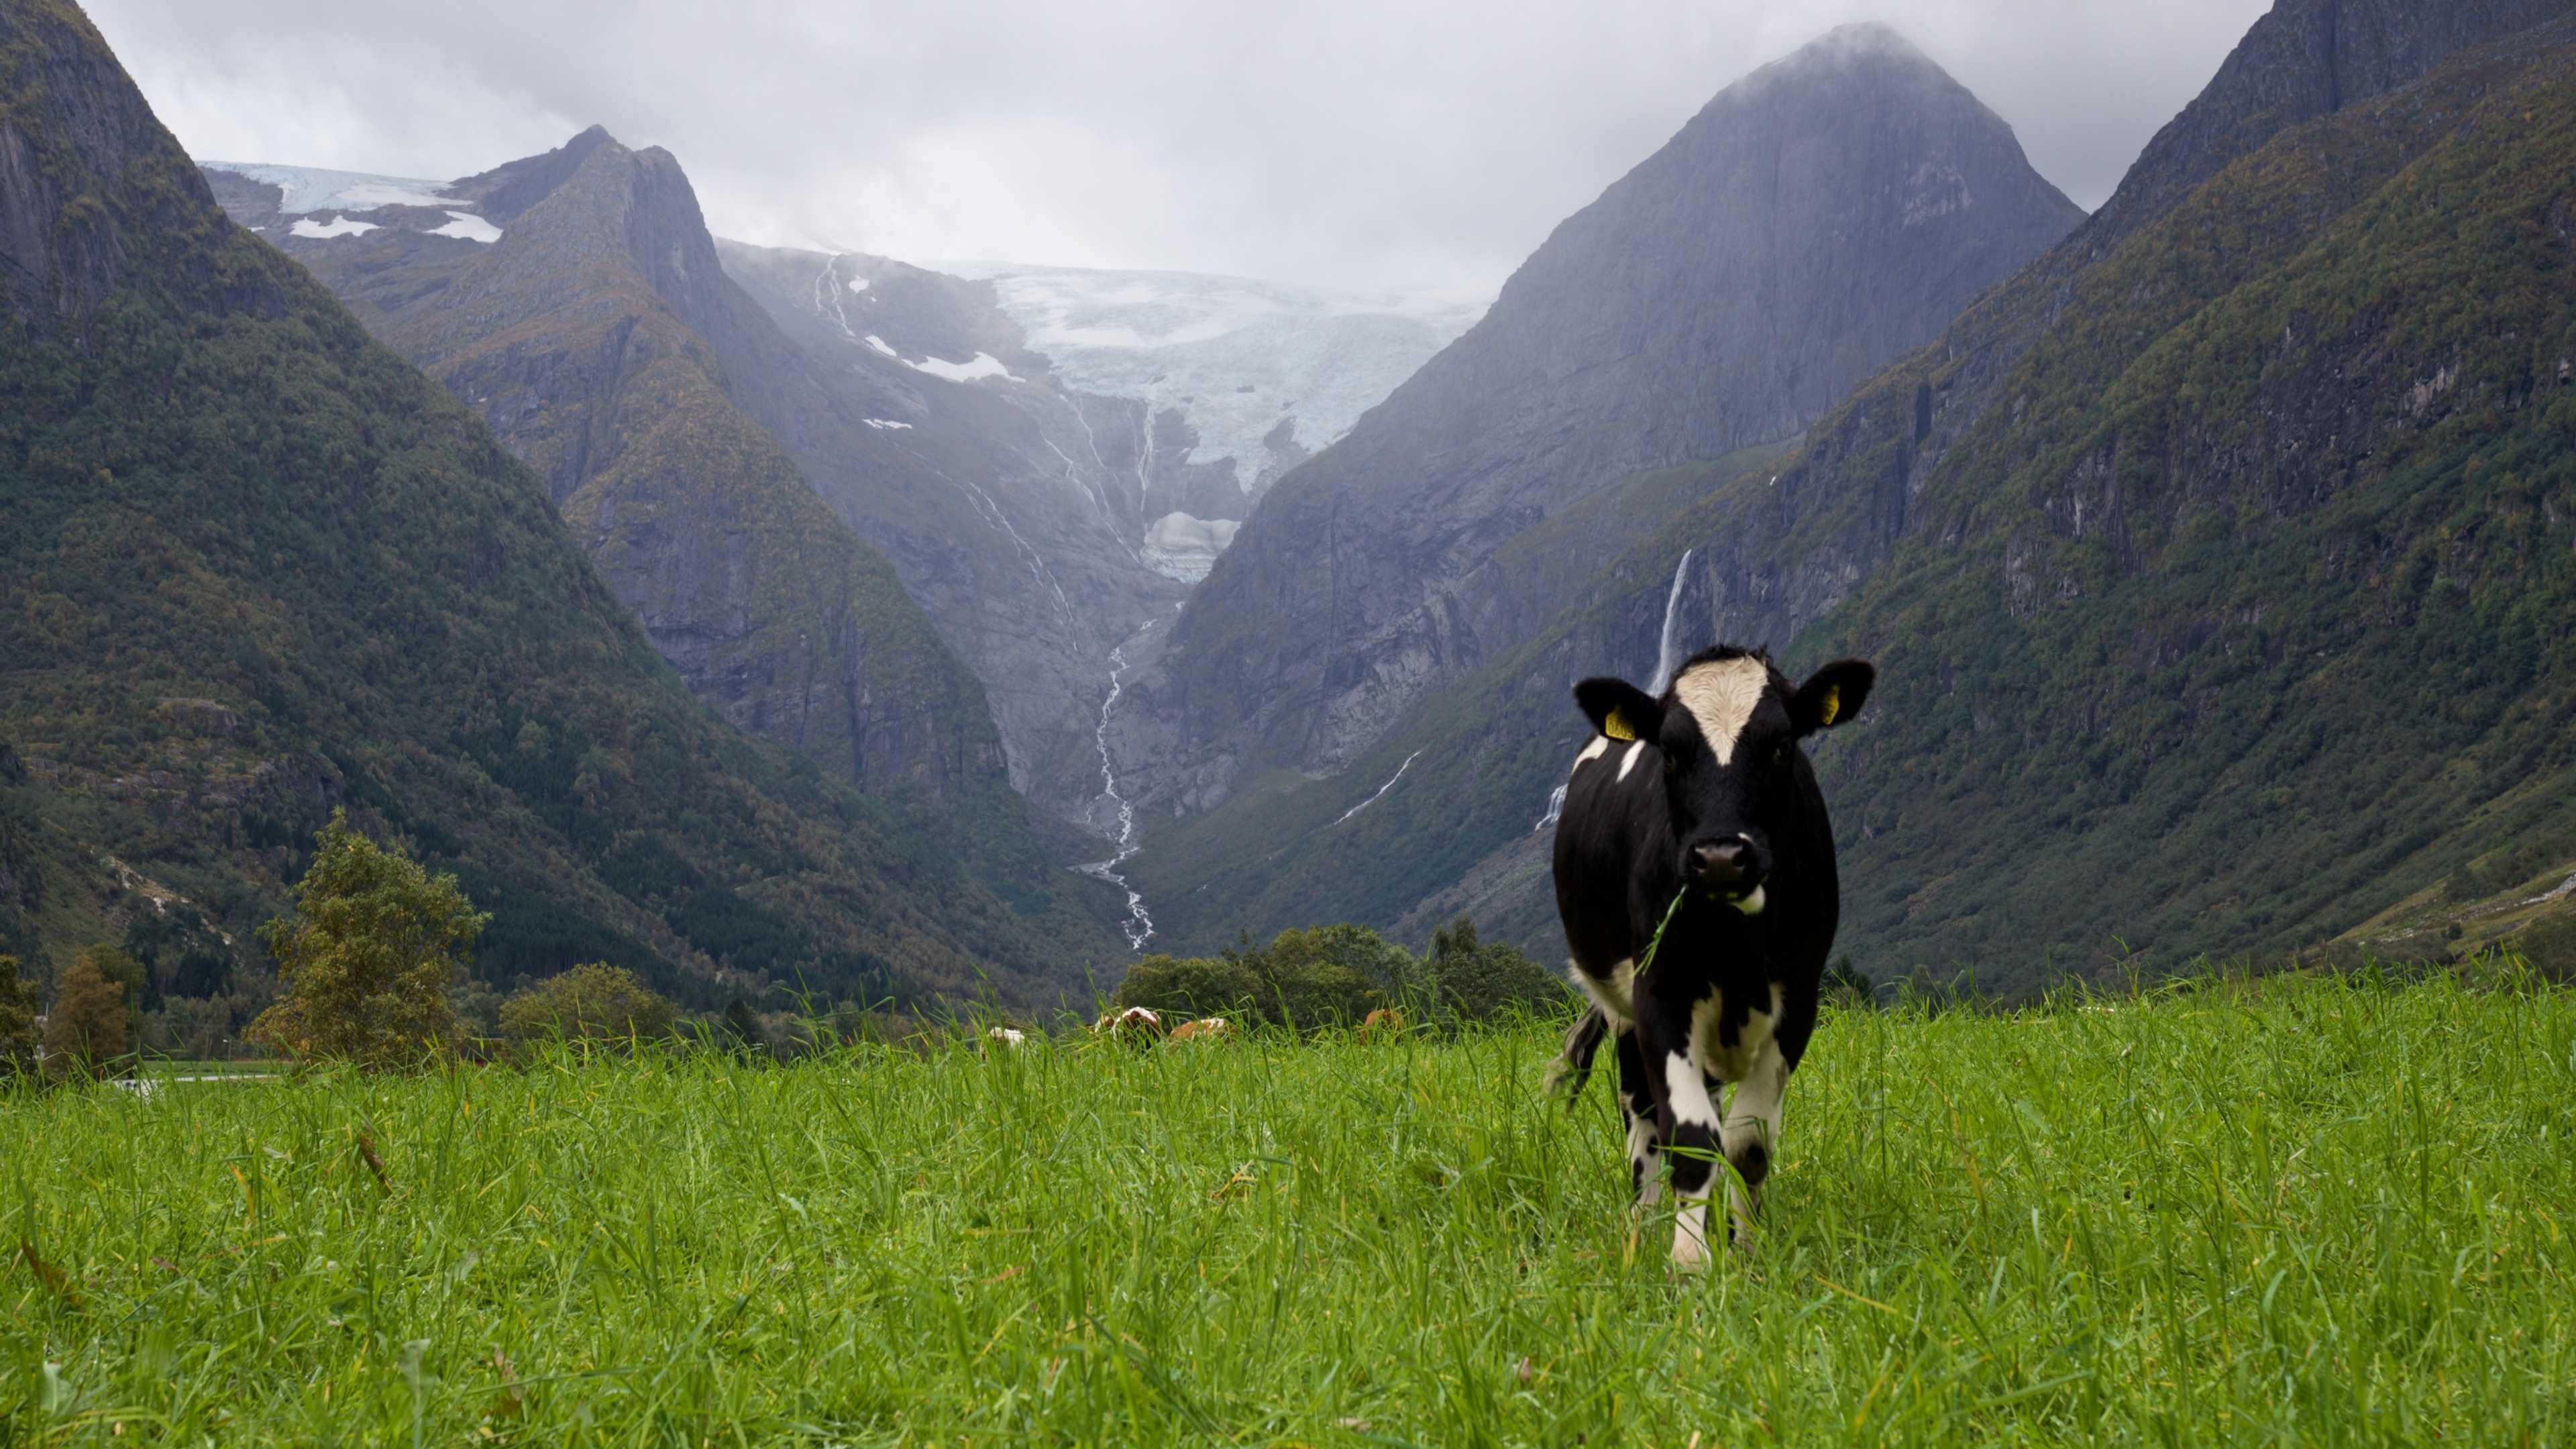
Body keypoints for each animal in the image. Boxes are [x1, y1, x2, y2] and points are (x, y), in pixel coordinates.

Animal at [1547, 644, 1875, 1270]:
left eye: (1782, 746)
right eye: (1671, 753)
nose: (1721, 856)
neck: (1735, 943)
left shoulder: (1799, 998)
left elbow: (1747, 1143)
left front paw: (1746, 1249)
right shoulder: (1660, 992)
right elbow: (1692, 1136)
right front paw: (1688, 1258)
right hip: (1623, 1010)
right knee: (1640, 1108)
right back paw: (1645, 1220)